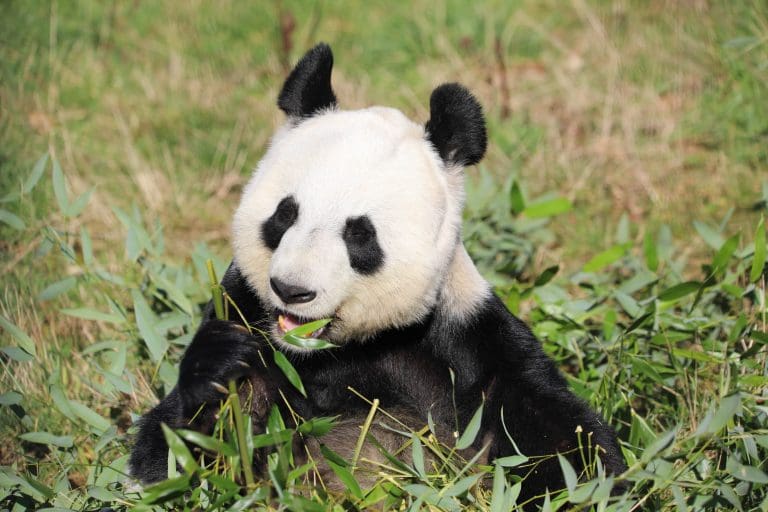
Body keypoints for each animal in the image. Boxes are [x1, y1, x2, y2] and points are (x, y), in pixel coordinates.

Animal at [129, 43, 626, 504]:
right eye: (285, 215)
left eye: (359, 235)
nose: (292, 290)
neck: (338, 351)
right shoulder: (245, 309)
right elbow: (178, 458)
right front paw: (223, 365)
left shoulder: (468, 340)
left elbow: (561, 439)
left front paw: (593, 487)